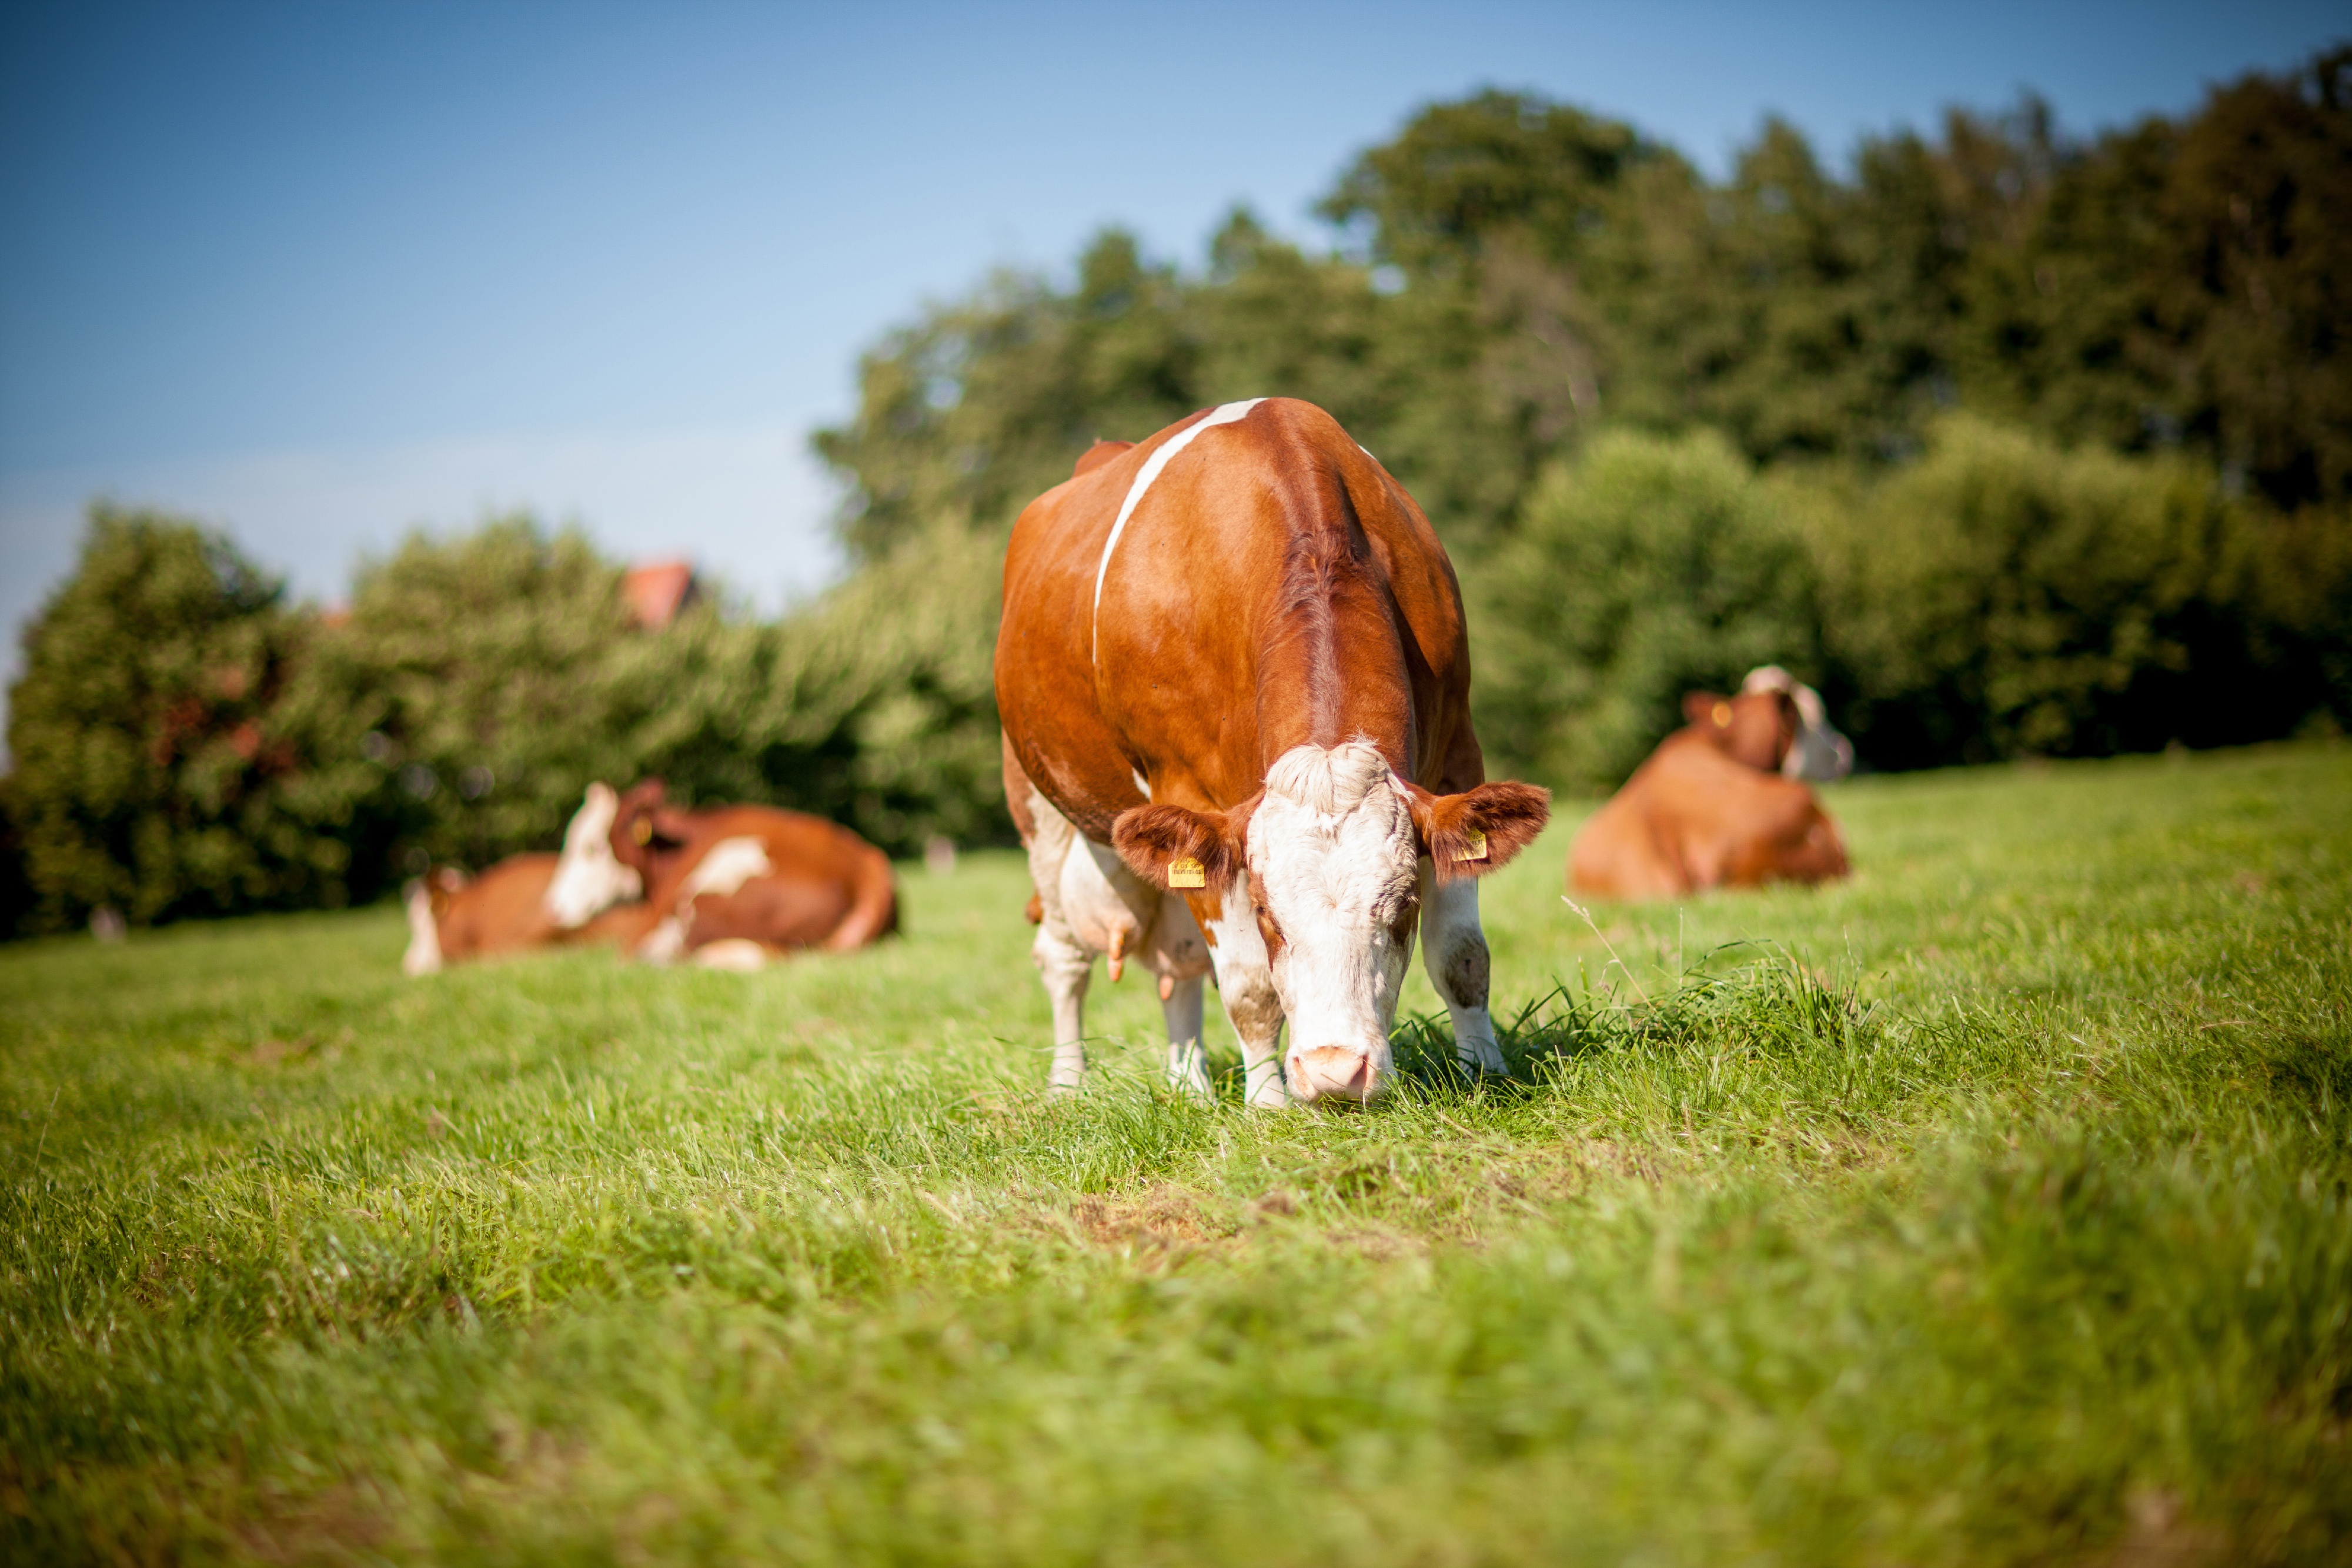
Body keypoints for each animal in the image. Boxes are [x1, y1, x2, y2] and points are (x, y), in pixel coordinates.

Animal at [1002, 394, 1552, 1105]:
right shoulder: (1191, 796)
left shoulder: (1458, 750)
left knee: (1177, 965)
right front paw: (1267, 1104)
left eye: (1403, 907)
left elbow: (1462, 954)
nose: (1335, 1072)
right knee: (1064, 957)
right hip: (1038, 803)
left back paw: (1190, 1085)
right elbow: (1248, 986)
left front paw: (1485, 1071)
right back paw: (1069, 1085)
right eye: (1267, 913)